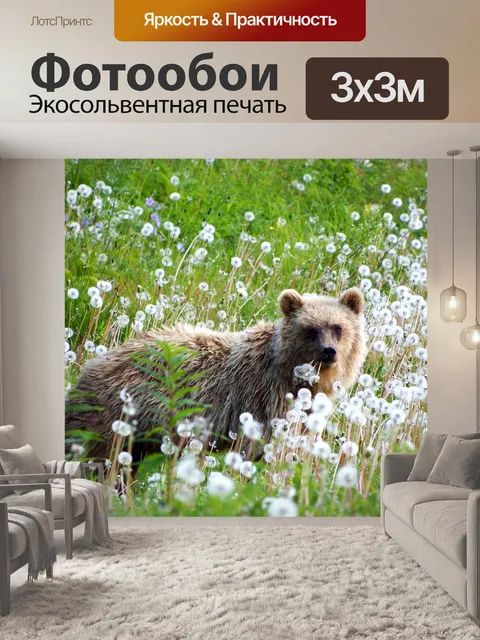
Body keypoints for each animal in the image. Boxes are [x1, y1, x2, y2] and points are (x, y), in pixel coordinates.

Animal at [65, 287, 366, 460]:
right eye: (311, 329)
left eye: (338, 327)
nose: (329, 351)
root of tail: (89, 366)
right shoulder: (263, 398)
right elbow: (263, 446)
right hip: (114, 416)